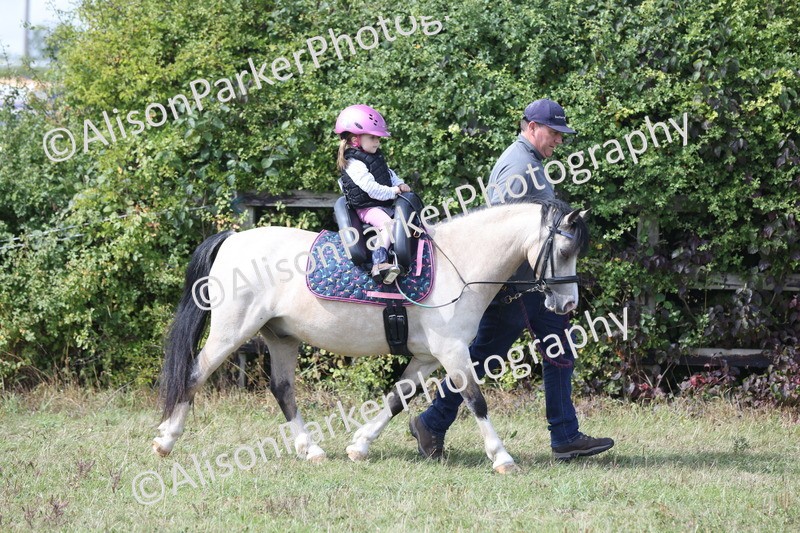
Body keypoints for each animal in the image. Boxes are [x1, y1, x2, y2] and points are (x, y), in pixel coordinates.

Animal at [153, 198, 589, 473]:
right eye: (564, 251)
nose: (567, 305)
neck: (460, 266)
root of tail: (232, 239)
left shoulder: (427, 356)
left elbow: (398, 398)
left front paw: (360, 445)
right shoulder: (452, 352)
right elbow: (475, 400)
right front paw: (501, 457)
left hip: (281, 338)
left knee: (282, 390)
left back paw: (311, 449)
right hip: (231, 332)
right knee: (194, 374)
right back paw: (166, 440)